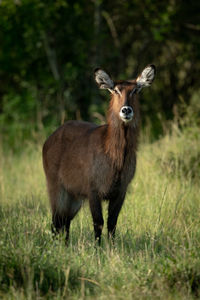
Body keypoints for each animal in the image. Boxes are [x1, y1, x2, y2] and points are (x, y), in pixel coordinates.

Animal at [42, 65, 156, 244]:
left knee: (65, 221)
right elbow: (98, 223)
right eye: (115, 90)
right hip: (57, 188)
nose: (126, 110)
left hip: (74, 196)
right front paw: (98, 248)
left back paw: (65, 246)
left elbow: (112, 223)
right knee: (55, 221)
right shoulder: (93, 191)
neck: (115, 156)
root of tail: (50, 138)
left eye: (135, 90)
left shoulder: (120, 191)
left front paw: (112, 247)